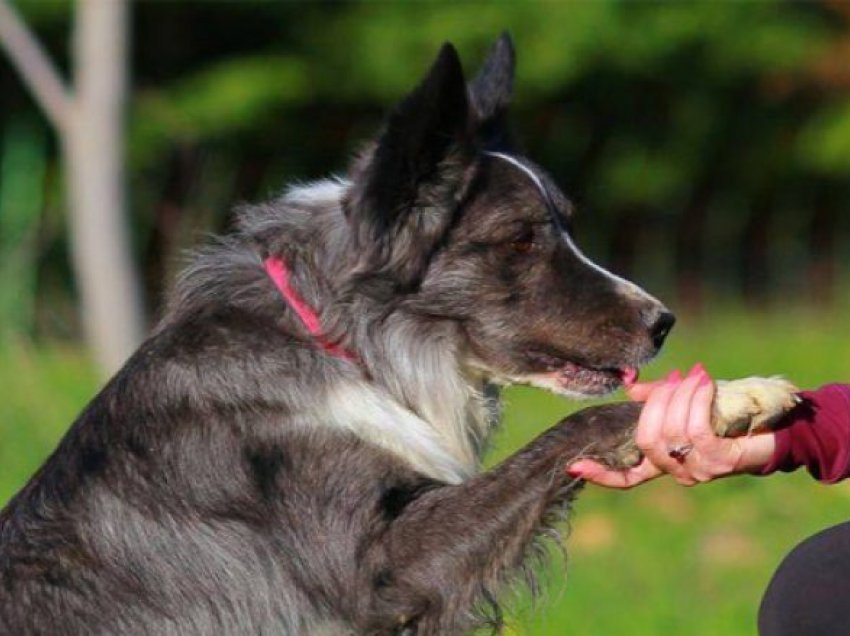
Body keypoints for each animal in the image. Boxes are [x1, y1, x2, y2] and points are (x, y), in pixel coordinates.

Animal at [0, 36, 796, 636]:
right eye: (521, 240)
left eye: (566, 225)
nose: (662, 322)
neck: (347, 346)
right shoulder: (377, 573)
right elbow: (572, 429)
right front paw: (730, 398)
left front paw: (738, 393)